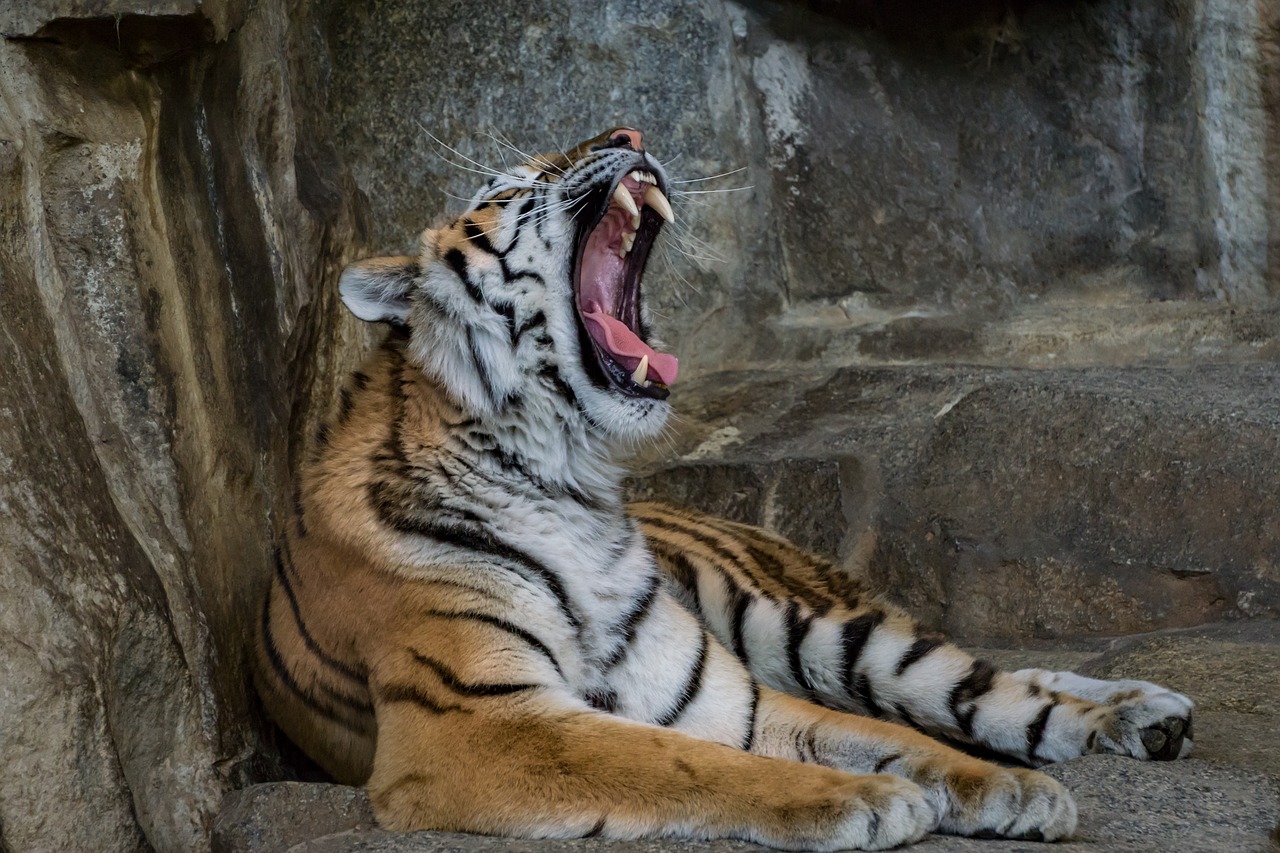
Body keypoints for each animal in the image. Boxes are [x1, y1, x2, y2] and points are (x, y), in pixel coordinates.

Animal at [254, 126, 1192, 850]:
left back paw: (1137, 716)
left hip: (812, 628)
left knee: (980, 683)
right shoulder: (478, 720)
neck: (570, 481)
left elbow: (881, 733)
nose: (628, 133)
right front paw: (871, 801)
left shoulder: (721, 693)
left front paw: (1005, 786)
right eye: (514, 185)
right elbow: (690, 762)